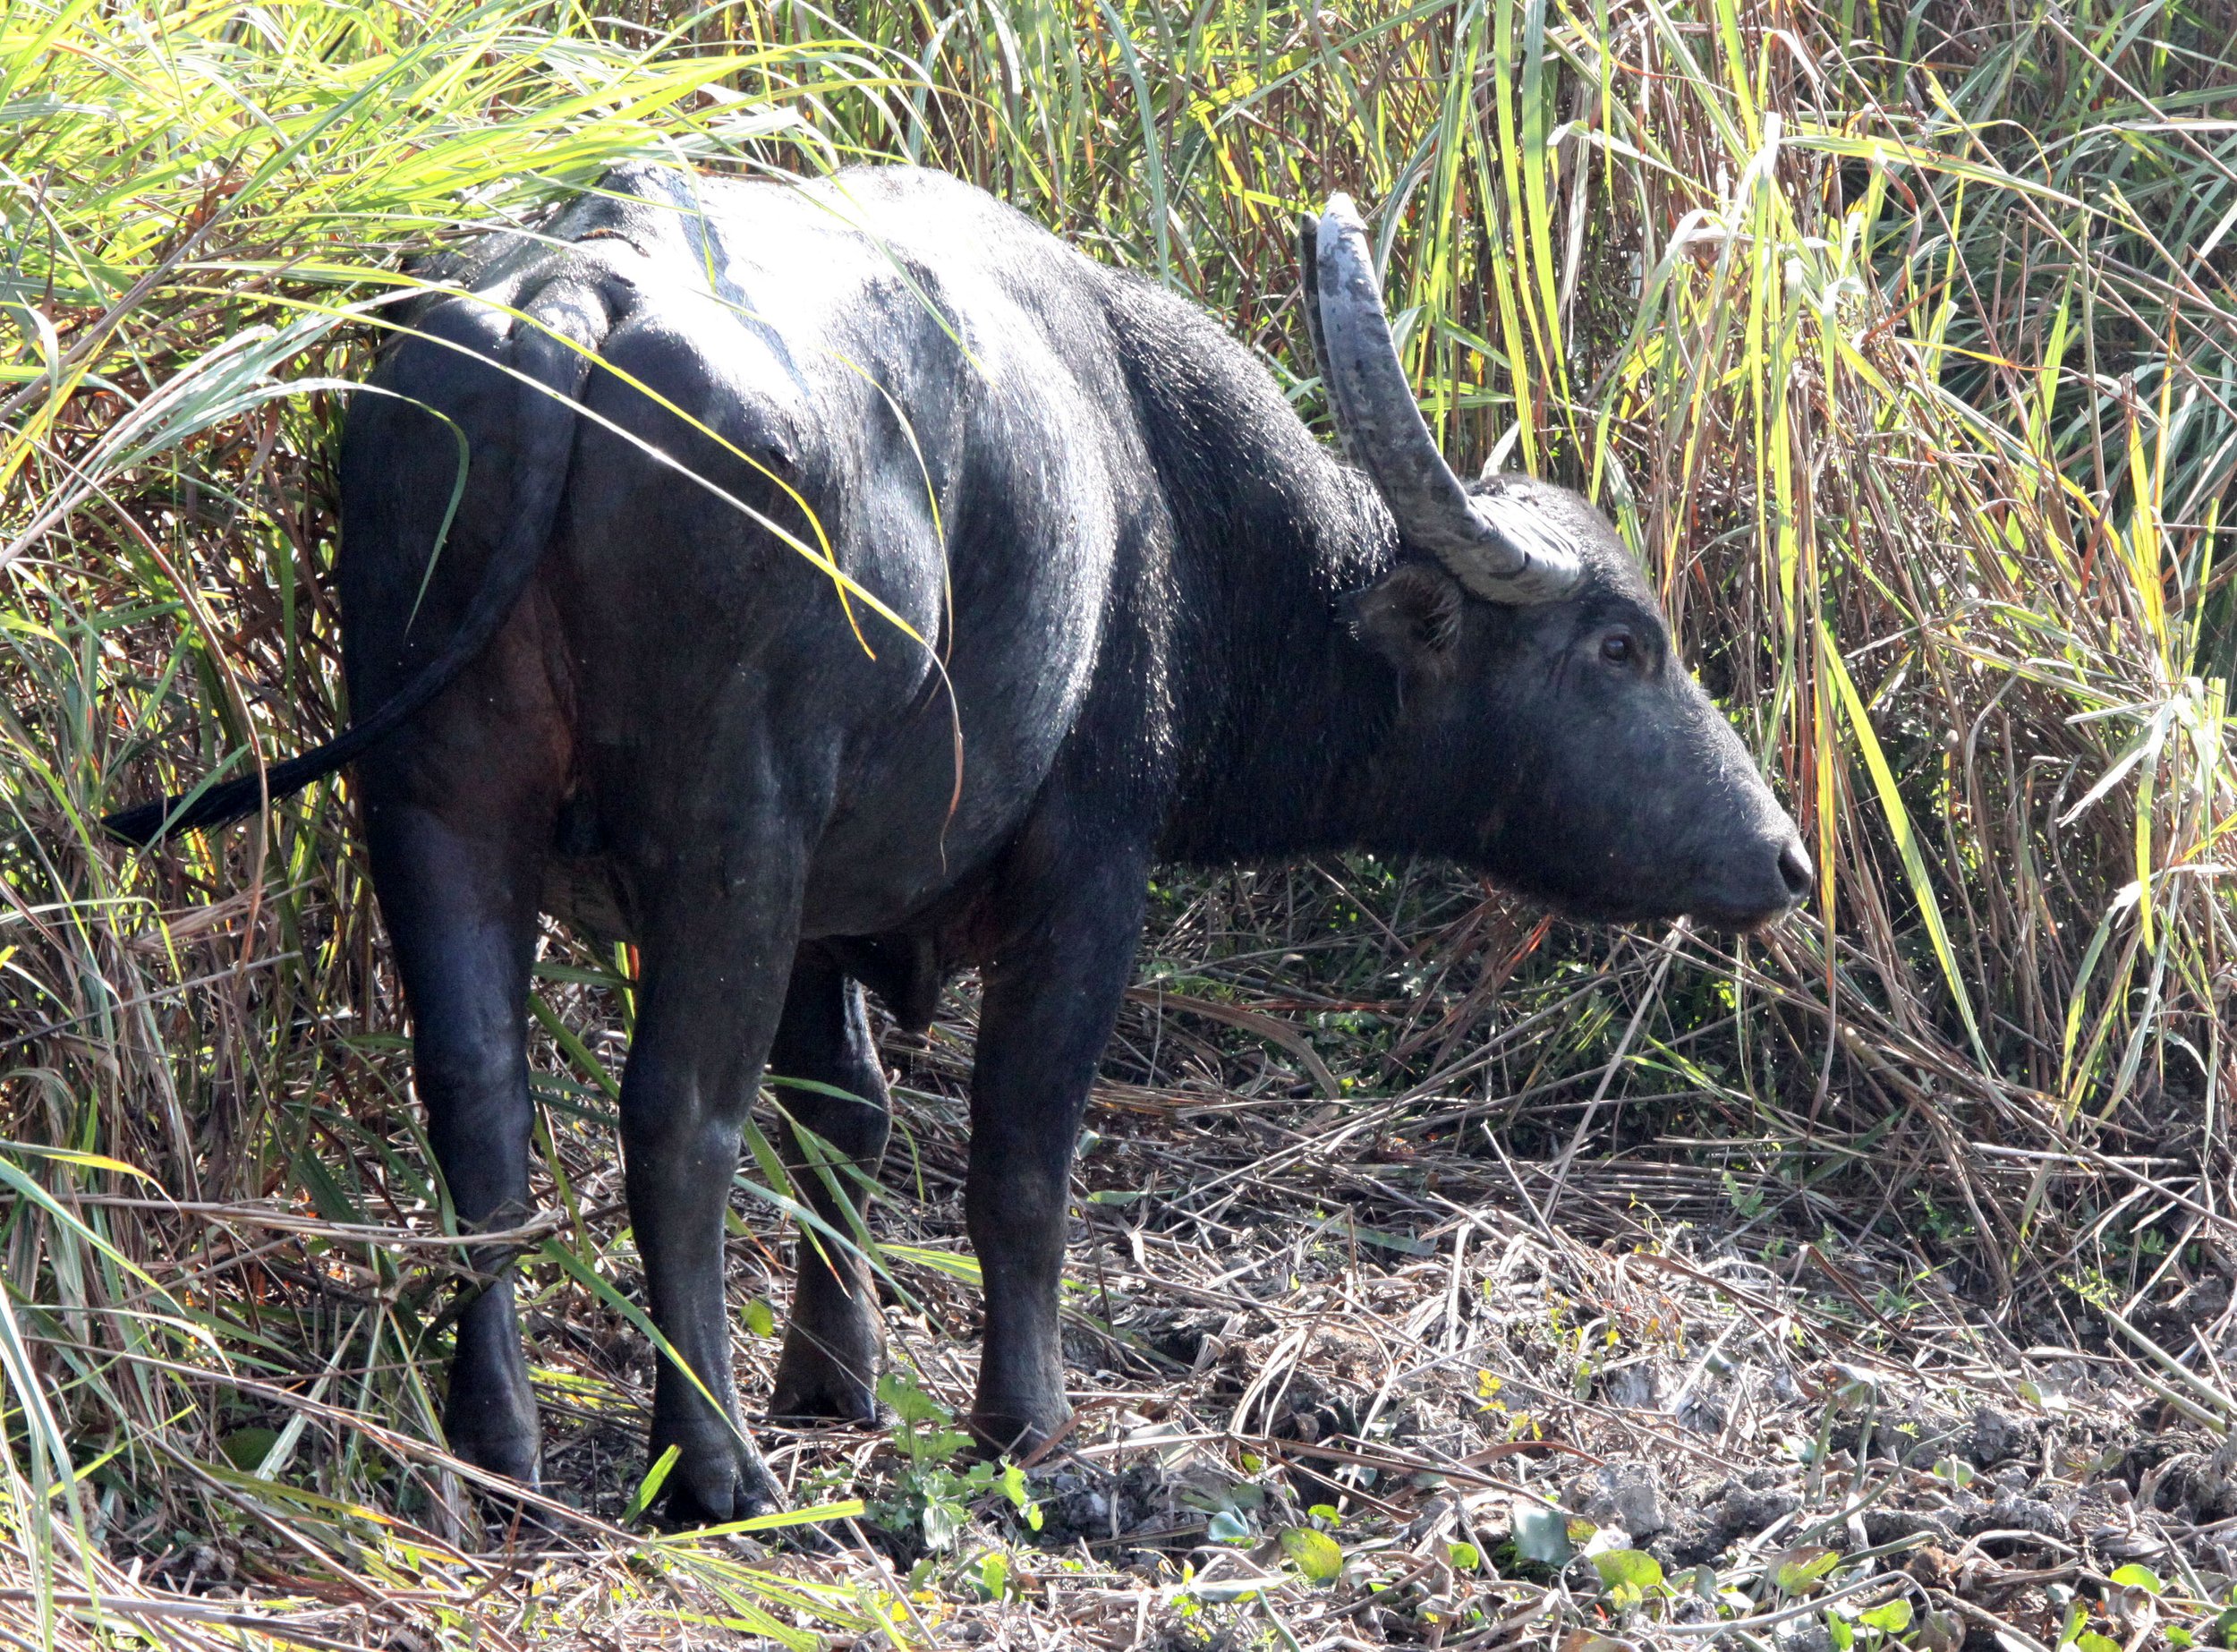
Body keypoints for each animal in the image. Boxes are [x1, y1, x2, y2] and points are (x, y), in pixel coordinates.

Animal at [109, 163, 1808, 1523]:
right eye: (1620, 645)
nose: (1784, 859)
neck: (1157, 493)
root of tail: (567, 306)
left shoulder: (826, 901)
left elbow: (845, 1118)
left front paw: (836, 1377)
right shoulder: (1086, 865)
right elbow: (1019, 1153)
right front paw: (1025, 1417)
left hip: (437, 800)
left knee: (480, 1105)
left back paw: (501, 1446)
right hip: (728, 826)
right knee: (679, 1117)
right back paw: (713, 1466)